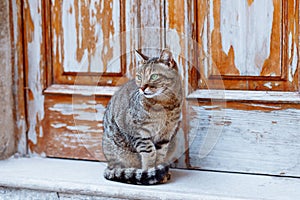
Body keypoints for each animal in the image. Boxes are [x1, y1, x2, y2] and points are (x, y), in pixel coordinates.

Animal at [102, 48, 183, 184]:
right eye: (139, 77)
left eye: (154, 76)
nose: (142, 87)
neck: (164, 105)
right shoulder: (137, 132)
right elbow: (149, 153)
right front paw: (149, 171)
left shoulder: (166, 135)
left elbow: (160, 154)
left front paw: (158, 170)